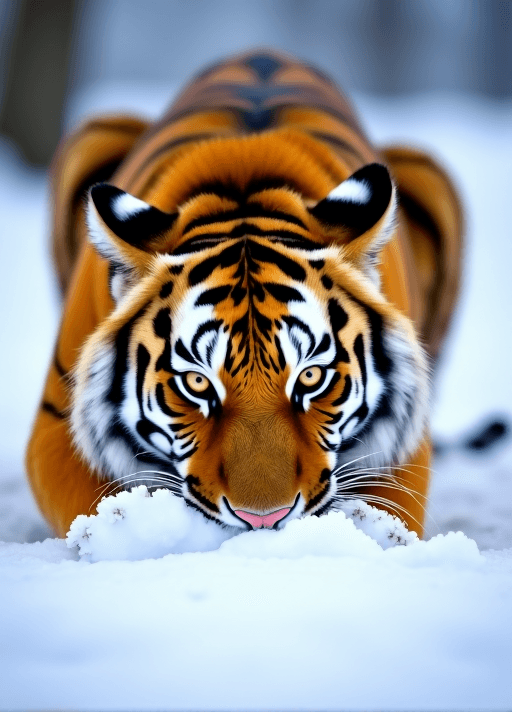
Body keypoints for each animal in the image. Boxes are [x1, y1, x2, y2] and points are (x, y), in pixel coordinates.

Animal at [26, 50, 463, 538]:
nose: (263, 518)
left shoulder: (406, 445)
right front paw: (122, 529)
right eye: (196, 382)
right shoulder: (57, 424)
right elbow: (91, 506)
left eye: (312, 376)